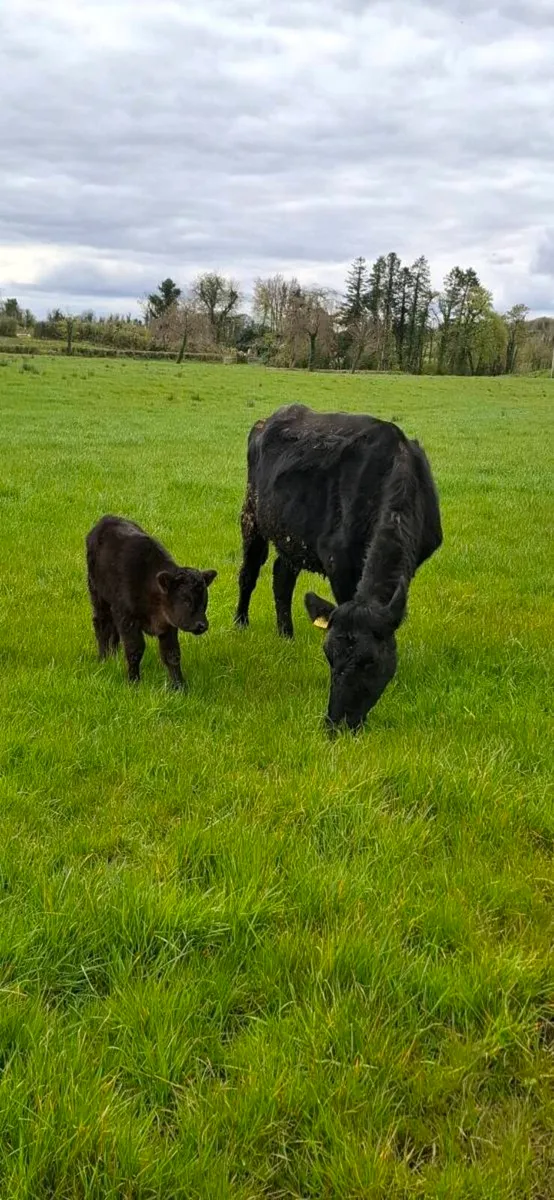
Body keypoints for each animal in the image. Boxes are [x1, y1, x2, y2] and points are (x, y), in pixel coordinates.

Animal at [86, 515, 217, 689]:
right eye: (186, 599)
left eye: (204, 601)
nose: (202, 625)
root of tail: (106, 519)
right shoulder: (127, 618)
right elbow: (135, 650)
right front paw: (133, 682)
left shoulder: (168, 624)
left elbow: (172, 654)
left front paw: (179, 686)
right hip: (98, 595)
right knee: (101, 623)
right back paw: (103, 658)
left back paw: (113, 656)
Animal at [234, 404, 442, 732]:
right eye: (329, 656)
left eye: (369, 661)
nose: (338, 722)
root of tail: (267, 419)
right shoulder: (338, 562)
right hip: (251, 515)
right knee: (249, 573)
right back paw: (241, 621)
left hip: (291, 537)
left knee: (282, 577)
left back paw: (286, 634)